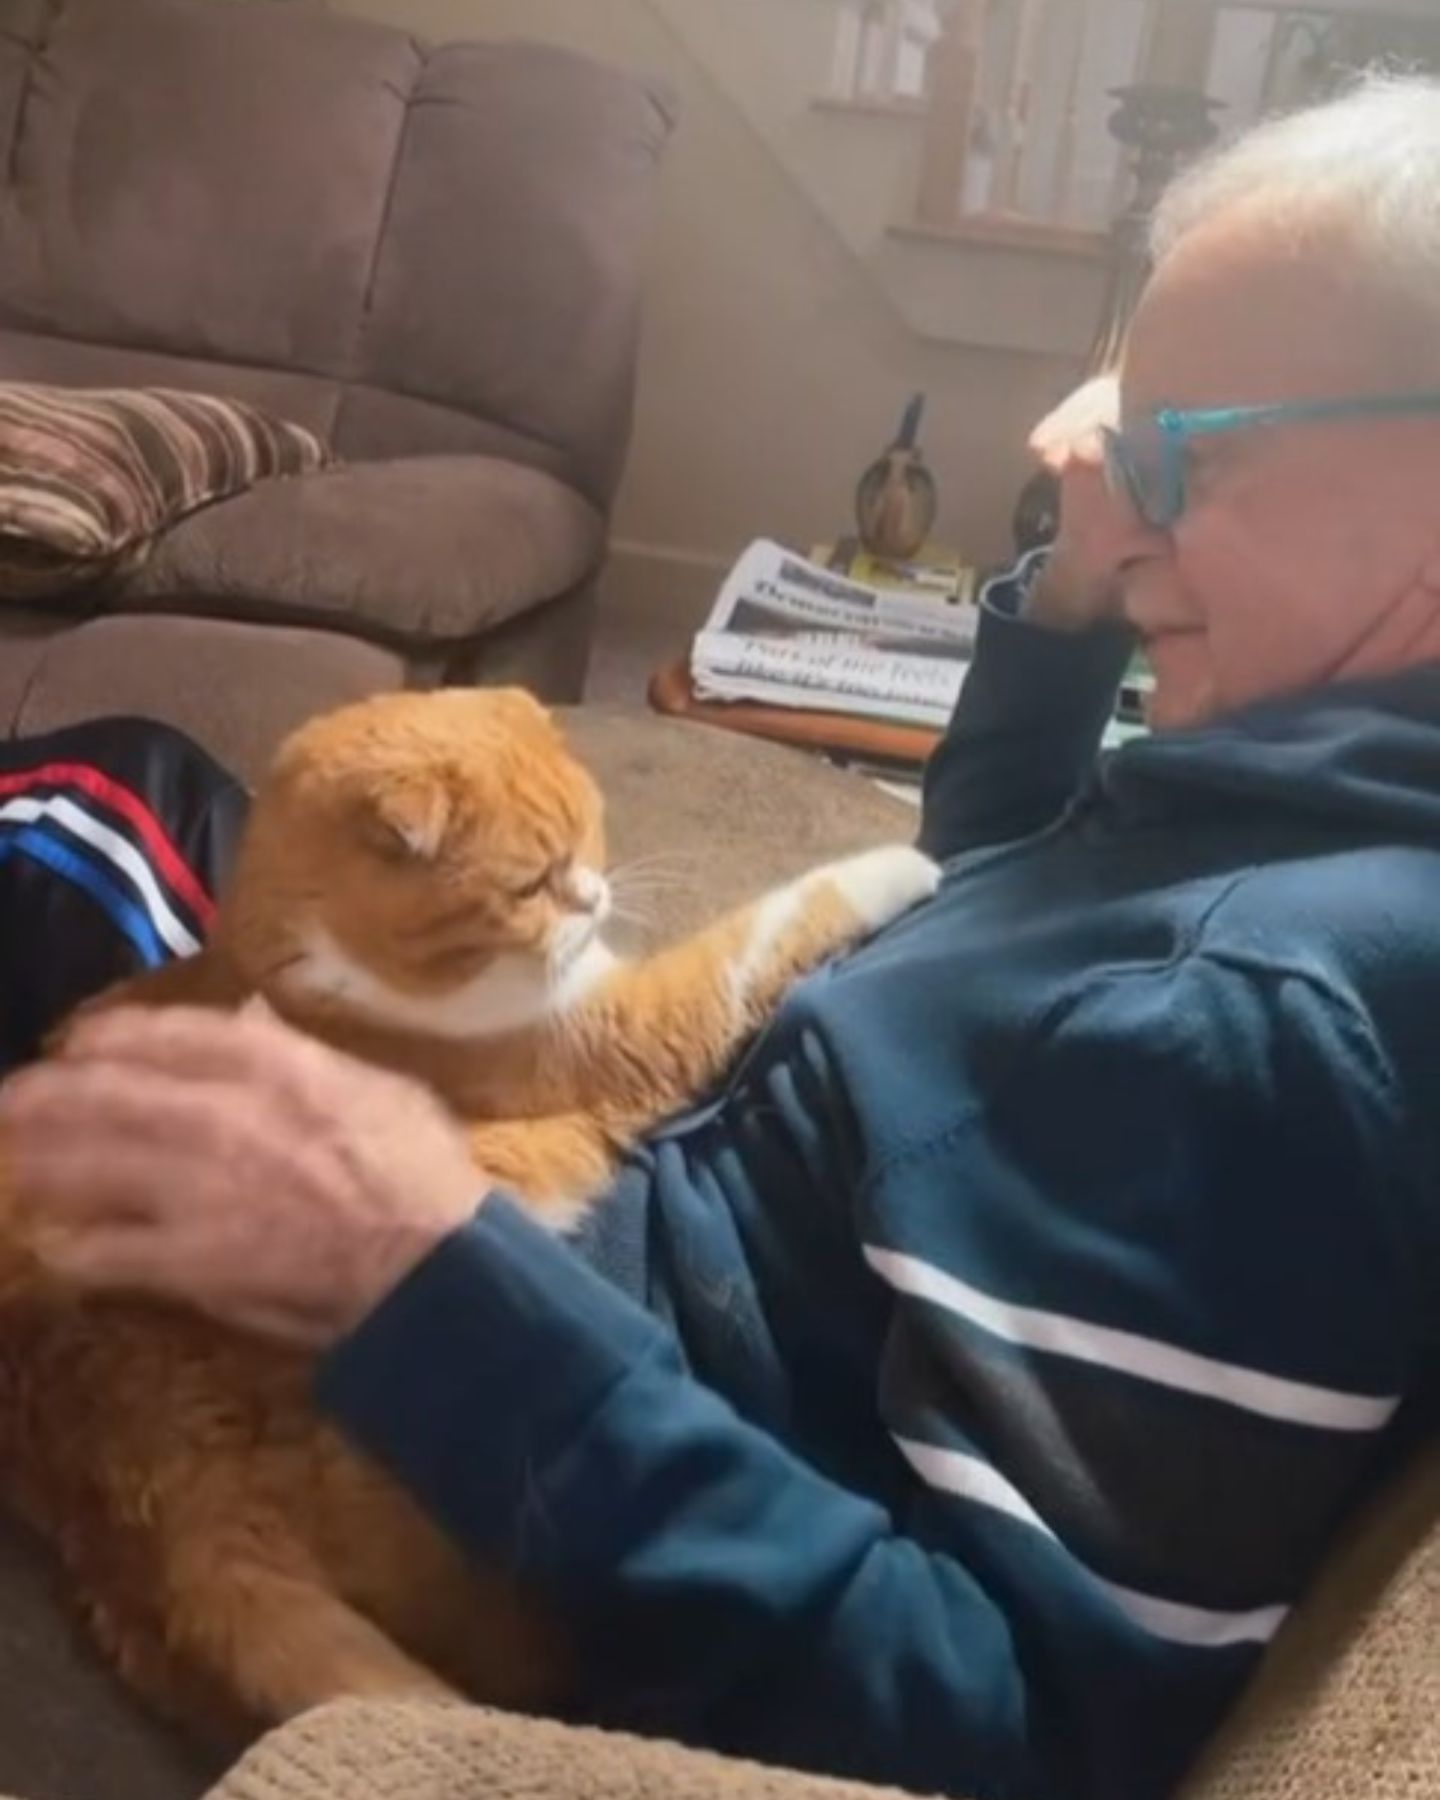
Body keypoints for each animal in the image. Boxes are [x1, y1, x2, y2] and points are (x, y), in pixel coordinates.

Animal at [0, 687, 936, 1742]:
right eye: (529, 884)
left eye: (590, 834)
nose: (593, 900)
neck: (305, 972)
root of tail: (126, 1460)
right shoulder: (629, 1032)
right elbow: (763, 931)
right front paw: (911, 863)